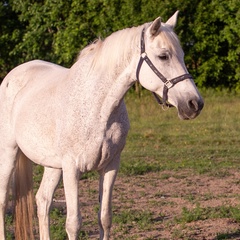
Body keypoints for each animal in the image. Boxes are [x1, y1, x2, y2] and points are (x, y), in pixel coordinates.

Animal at [0, 11, 202, 240]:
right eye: (163, 56)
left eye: (183, 56)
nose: (194, 104)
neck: (98, 108)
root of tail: (12, 75)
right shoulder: (72, 169)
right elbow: (73, 223)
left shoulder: (110, 166)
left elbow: (104, 218)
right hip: (9, 152)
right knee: (3, 201)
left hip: (52, 165)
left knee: (42, 200)